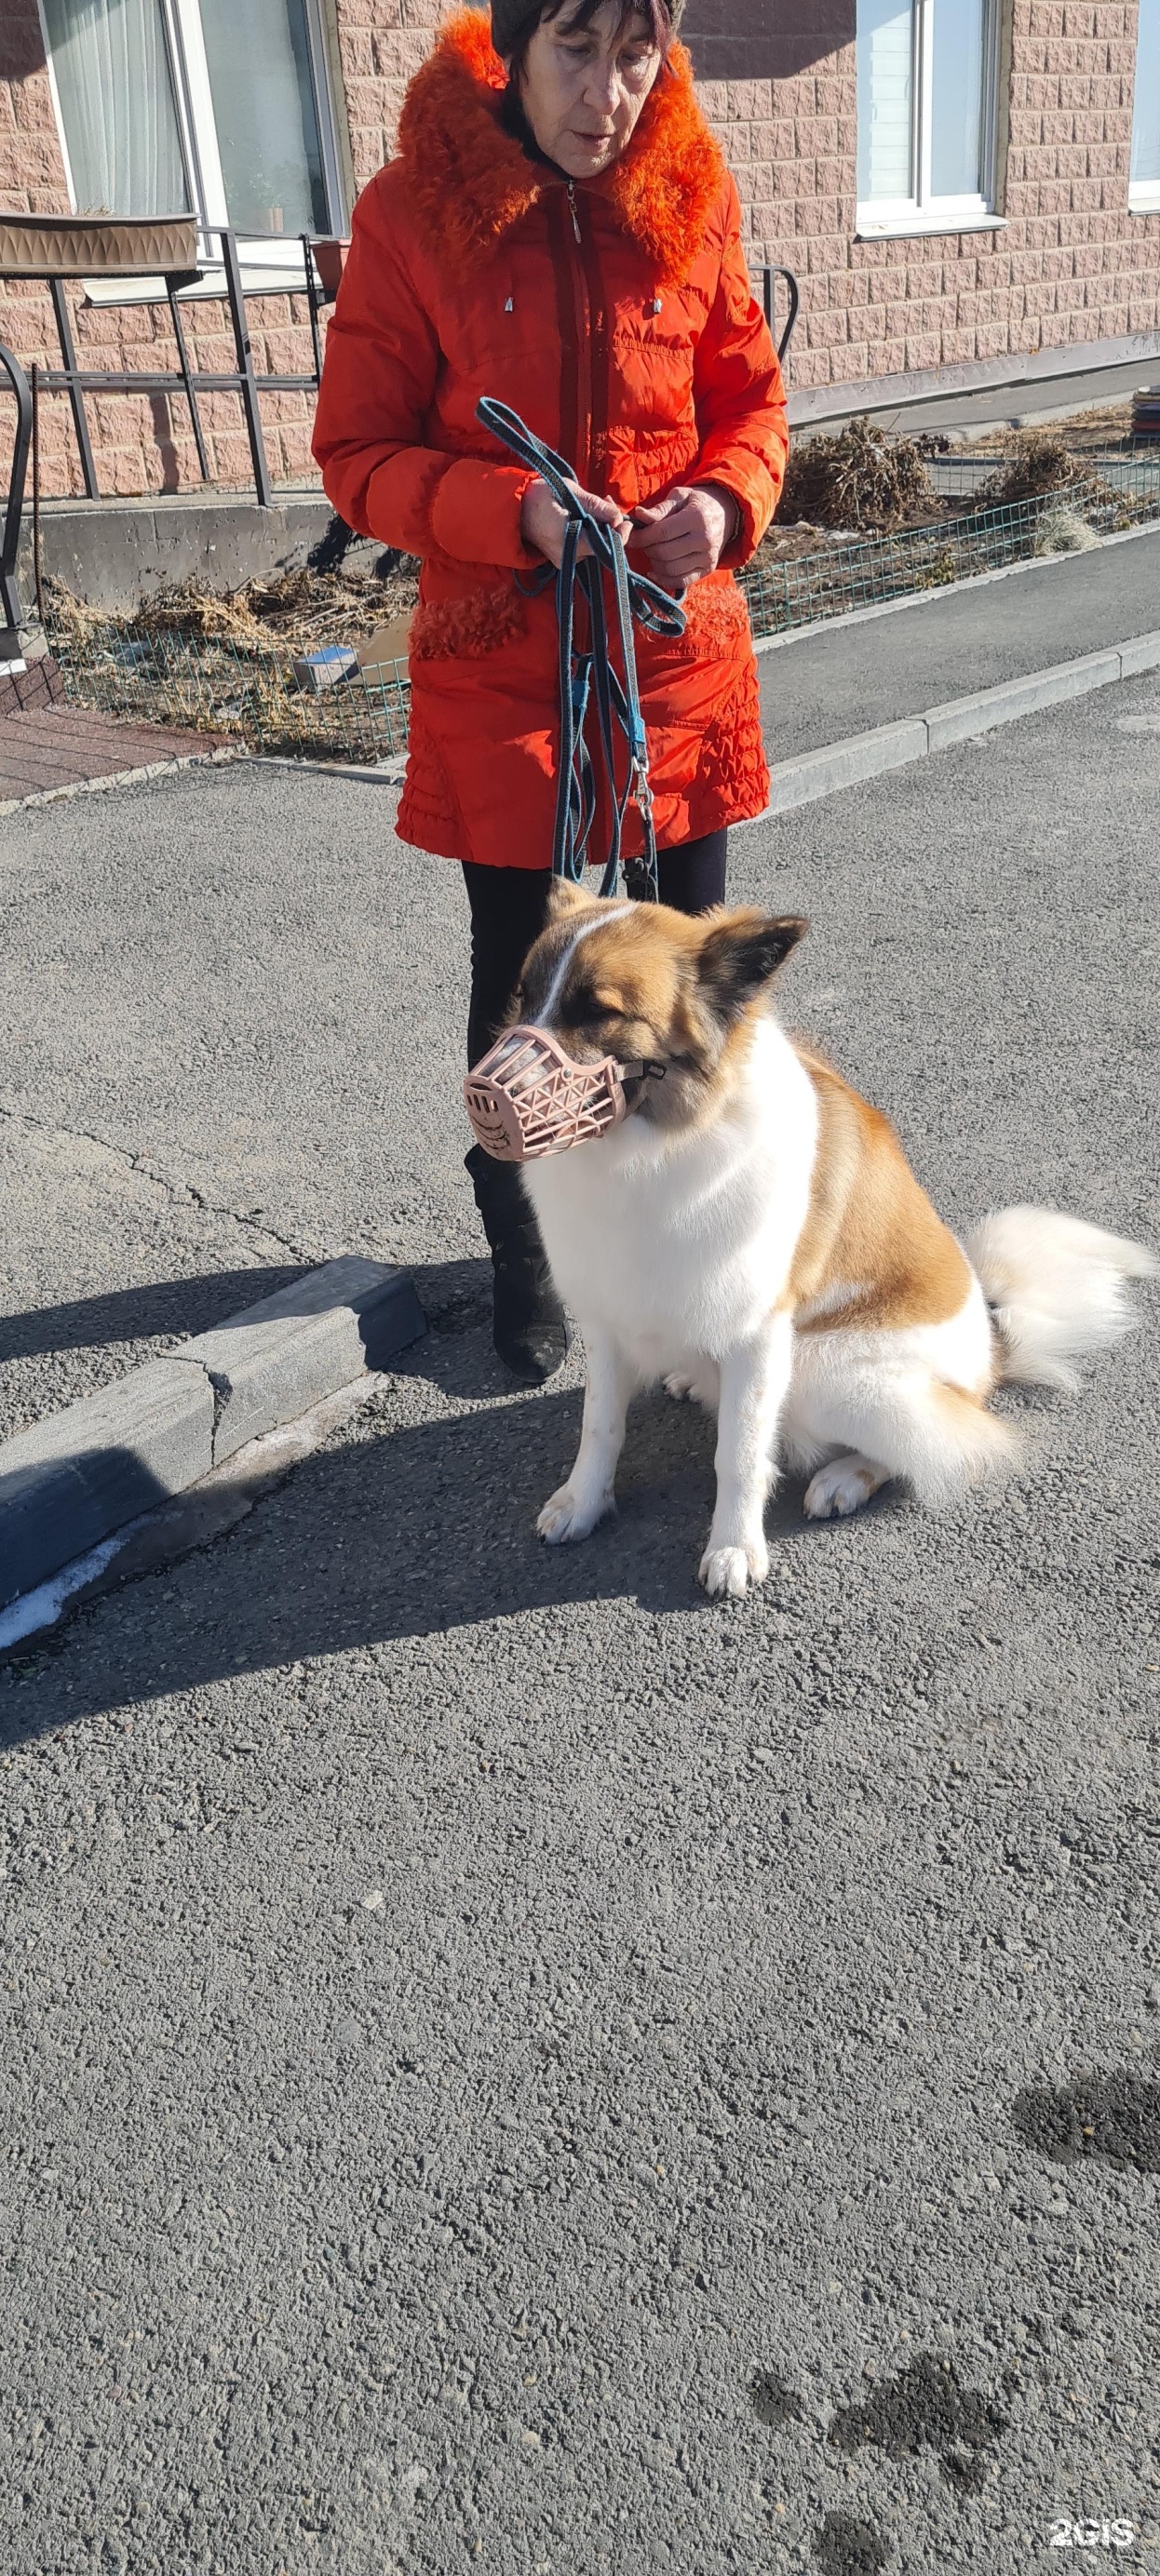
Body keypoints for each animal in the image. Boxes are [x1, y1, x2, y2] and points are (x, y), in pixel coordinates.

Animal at [513, 896, 1154, 1597]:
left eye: (598, 1011)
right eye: (524, 995)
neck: (654, 1147)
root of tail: (991, 1349)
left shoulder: (760, 1334)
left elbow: (740, 1453)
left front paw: (734, 1547)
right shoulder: (607, 1316)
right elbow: (600, 1425)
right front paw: (583, 1503)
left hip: (826, 1370)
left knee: (938, 1444)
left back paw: (845, 1478)